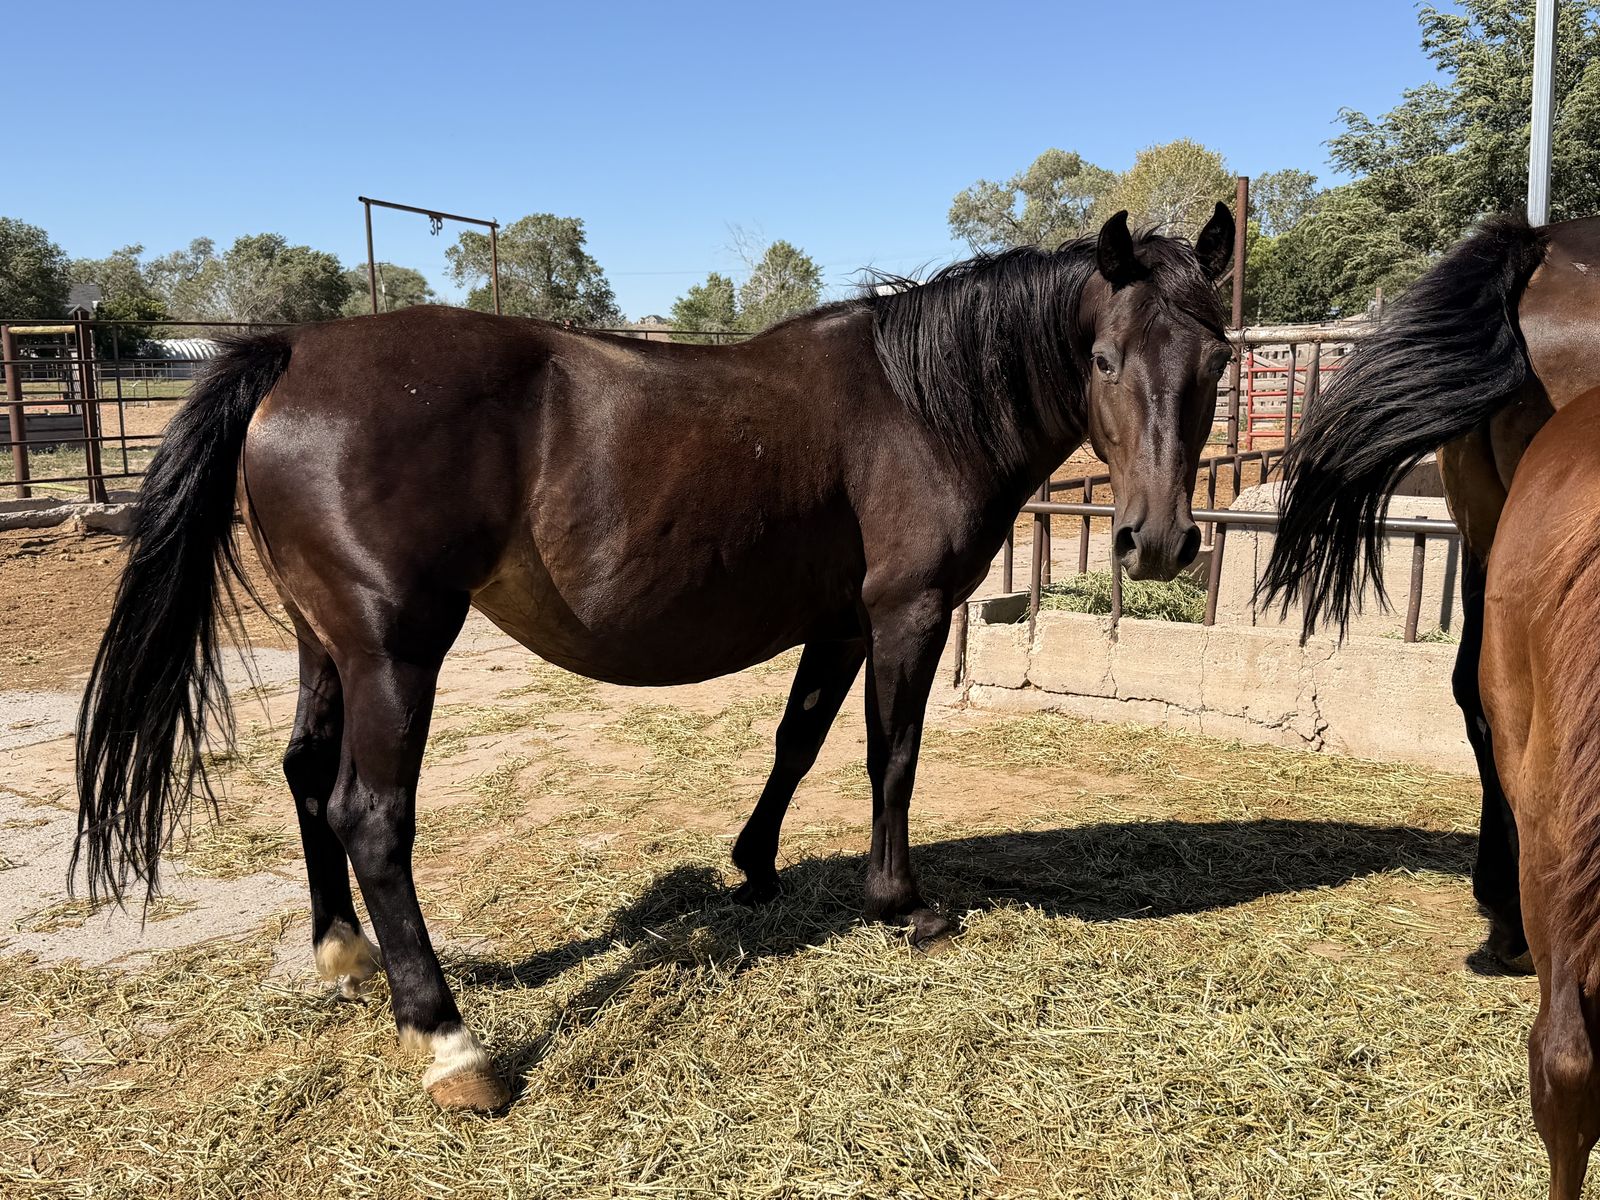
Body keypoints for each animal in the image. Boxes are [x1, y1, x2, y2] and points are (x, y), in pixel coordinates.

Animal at [74, 206, 1235, 1110]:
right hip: (393, 650)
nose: (1160, 542)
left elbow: (797, 742)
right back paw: (450, 1044)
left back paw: (345, 957)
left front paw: (753, 866)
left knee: (307, 776)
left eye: (1219, 362)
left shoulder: (839, 624)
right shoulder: (906, 615)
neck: (916, 403)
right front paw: (903, 904)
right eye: (1102, 360)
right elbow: (890, 759)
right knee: (372, 817)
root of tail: (296, 350)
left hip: (326, 645)